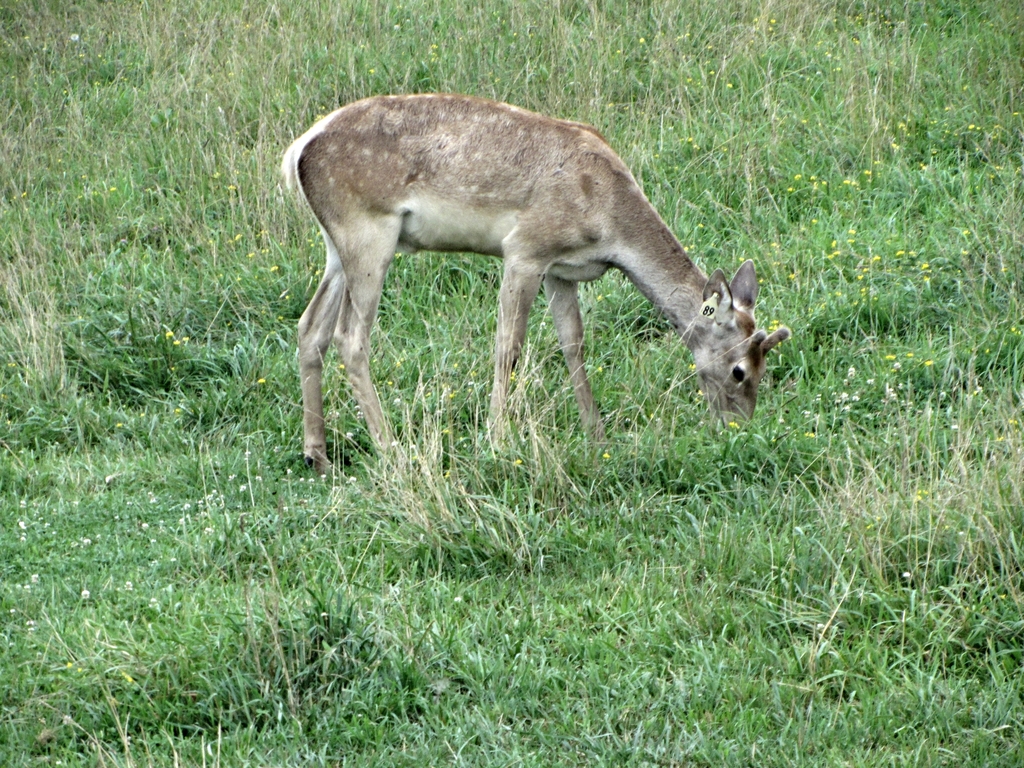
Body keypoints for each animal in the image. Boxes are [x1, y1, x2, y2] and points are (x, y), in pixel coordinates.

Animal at [281, 94, 791, 471]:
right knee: (351, 337)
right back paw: (391, 450)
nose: (739, 426)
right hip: (370, 235)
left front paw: (596, 435)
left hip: (336, 248)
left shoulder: (560, 271)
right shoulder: (524, 250)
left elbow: (574, 344)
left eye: (764, 365)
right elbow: (508, 346)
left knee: (311, 328)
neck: (609, 224)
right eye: (740, 369)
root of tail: (297, 150)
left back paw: (316, 455)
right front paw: (497, 440)